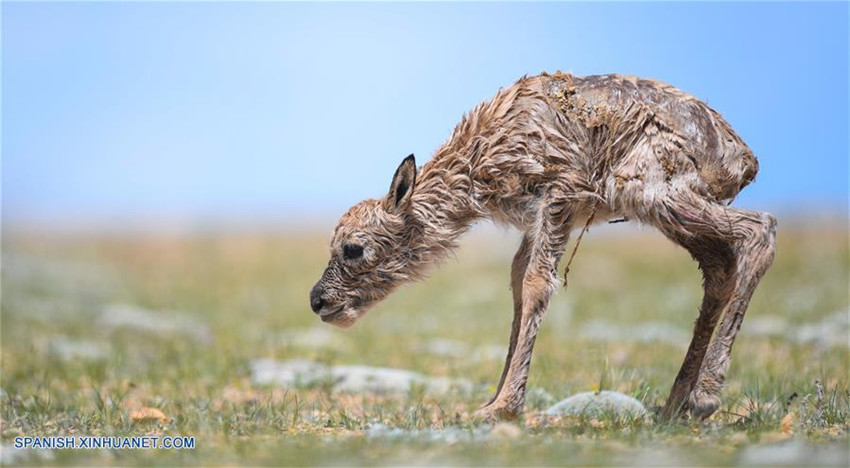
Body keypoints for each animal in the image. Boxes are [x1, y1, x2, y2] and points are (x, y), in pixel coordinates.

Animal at [310, 72, 776, 420]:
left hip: (655, 195)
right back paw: (673, 405)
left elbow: (537, 284)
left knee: (760, 230)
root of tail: (743, 158)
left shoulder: (560, 196)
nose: (317, 301)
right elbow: (518, 285)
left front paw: (503, 407)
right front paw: (493, 399)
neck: (479, 155)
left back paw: (704, 397)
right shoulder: (539, 220)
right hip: (669, 213)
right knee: (720, 269)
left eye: (353, 248)